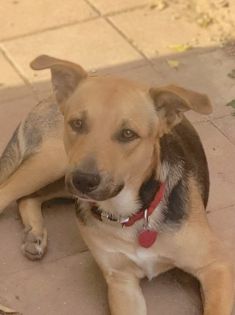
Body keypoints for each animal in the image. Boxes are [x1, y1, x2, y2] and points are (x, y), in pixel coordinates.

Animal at [0, 55, 234, 314]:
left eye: (128, 134)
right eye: (77, 123)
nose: (84, 180)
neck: (130, 214)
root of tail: (47, 99)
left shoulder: (217, 265)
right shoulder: (121, 282)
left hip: (61, 174)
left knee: (28, 197)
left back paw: (35, 235)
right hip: (55, 164)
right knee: (9, 192)